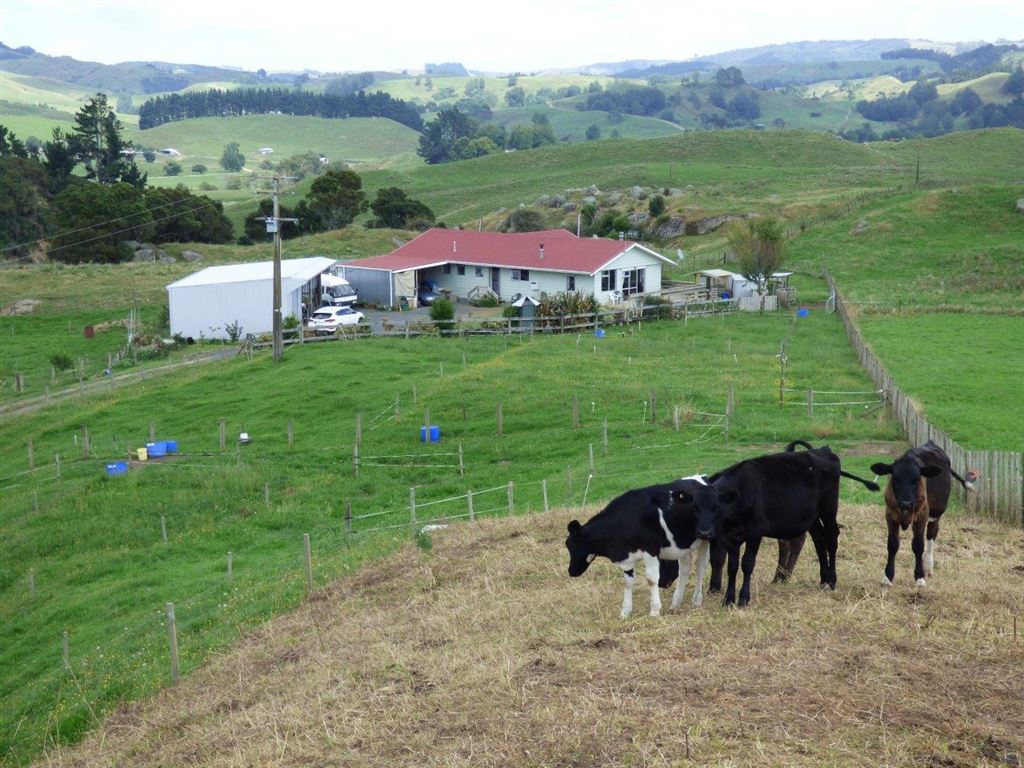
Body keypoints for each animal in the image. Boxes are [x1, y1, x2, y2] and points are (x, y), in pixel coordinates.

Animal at [569, 475, 712, 618]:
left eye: (570, 546)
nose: (571, 572)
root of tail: (702, 477)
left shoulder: (651, 550)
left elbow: (651, 579)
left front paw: (654, 611)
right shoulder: (628, 557)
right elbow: (628, 582)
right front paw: (625, 611)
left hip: (704, 539)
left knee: (700, 567)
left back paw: (697, 600)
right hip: (682, 545)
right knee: (684, 568)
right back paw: (676, 603)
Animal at [679, 444, 880, 606]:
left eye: (716, 507)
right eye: (695, 507)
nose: (704, 533)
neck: (742, 494)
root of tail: (823, 451)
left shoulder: (755, 532)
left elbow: (747, 564)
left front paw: (744, 598)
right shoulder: (731, 536)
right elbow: (732, 567)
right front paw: (728, 600)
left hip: (828, 509)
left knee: (831, 538)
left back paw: (831, 580)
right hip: (812, 516)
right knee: (819, 540)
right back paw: (823, 579)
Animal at [872, 438, 974, 589]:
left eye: (917, 479)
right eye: (895, 479)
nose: (906, 503)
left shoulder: (922, 516)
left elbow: (918, 546)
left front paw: (919, 577)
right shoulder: (890, 515)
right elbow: (892, 544)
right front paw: (887, 577)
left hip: (936, 515)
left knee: (931, 536)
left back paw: (928, 567)